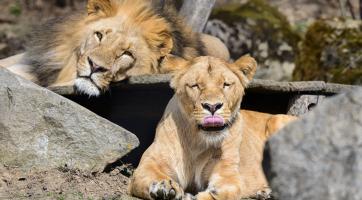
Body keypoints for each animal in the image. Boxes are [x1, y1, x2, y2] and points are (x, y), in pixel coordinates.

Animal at [129, 55, 296, 200]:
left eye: (225, 84)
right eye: (195, 85)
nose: (213, 106)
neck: (197, 142)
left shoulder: (228, 175)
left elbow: (223, 193)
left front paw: (197, 196)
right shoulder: (150, 163)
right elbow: (150, 174)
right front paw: (164, 188)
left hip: (277, 120)